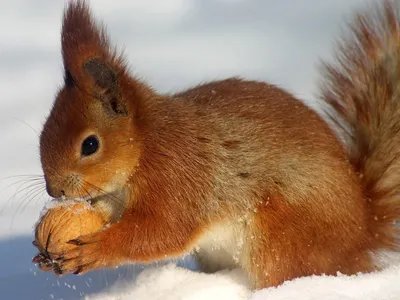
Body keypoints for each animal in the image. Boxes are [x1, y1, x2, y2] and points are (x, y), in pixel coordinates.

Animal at [33, 0, 400, 290]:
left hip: (283, 238)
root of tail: (363, 232)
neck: (146, 145)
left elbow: (161, 232)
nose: (55, 191)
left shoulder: (178, 178)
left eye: (90, 144)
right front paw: (45, 249)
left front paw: (93, 250)